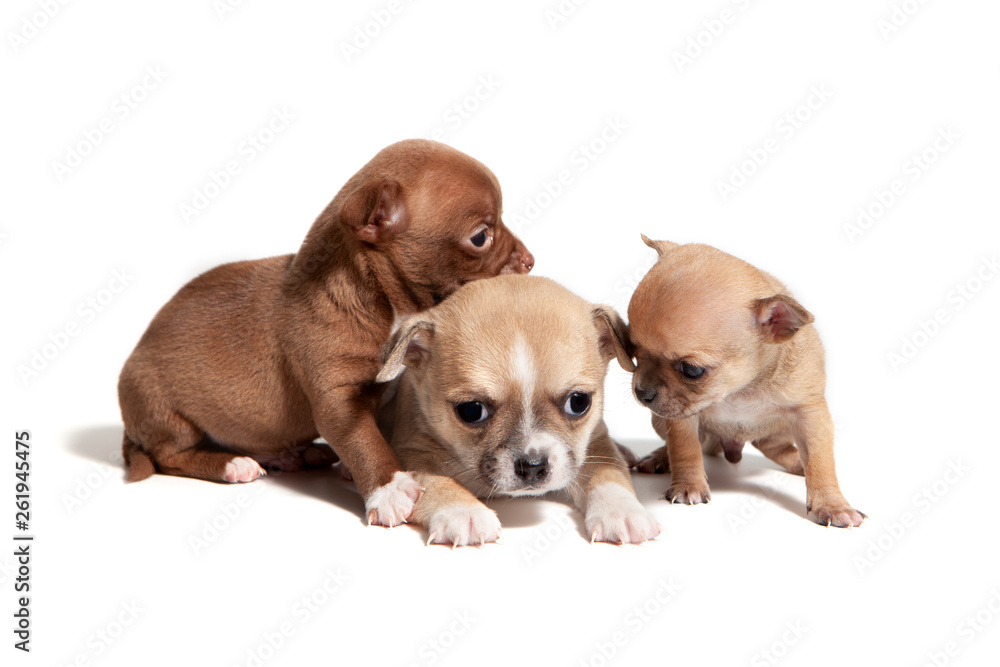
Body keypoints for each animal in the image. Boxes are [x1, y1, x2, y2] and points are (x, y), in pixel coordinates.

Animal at [119, 140, 532, 528]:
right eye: (480, 237)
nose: (530, 260)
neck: (381, 305)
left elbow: (371, 430)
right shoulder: (337, 401)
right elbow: (364, 441)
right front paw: (388, 488)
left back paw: (291, 454)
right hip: (164, 410)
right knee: (169, 456)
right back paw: (233, 464)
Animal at [372, 274, 660, 544]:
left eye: (578, 402)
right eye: (471, 411)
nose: (532, 466)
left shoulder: (597, 443)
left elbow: (609, 472)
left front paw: (622, 511)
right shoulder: (413, 451)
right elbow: (436, 481)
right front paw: (463, 512)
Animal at [628, 237, 864, 528]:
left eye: (692, 370)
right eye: (631, 349)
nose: (642, 392)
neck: (740, 390)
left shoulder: (811, 414)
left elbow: (820, 460)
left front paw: (831, 504)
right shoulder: (682, 417)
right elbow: (685, 448)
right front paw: (688, 485)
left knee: (773, 446)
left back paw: (798, 462)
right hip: (662, 421)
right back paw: (659, 457)